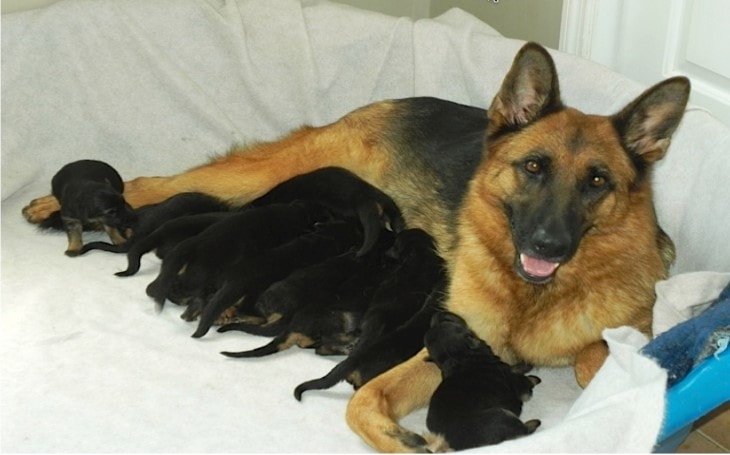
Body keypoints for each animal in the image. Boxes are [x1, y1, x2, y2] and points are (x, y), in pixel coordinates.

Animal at [24, 41, 688, 452]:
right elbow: (363, 401)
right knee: (153, 183)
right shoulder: (447, 341)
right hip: (256, 178)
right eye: (533, 168)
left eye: (597, 182)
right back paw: (55, 207)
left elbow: (602, 356)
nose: (548, 244)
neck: (535, 299)